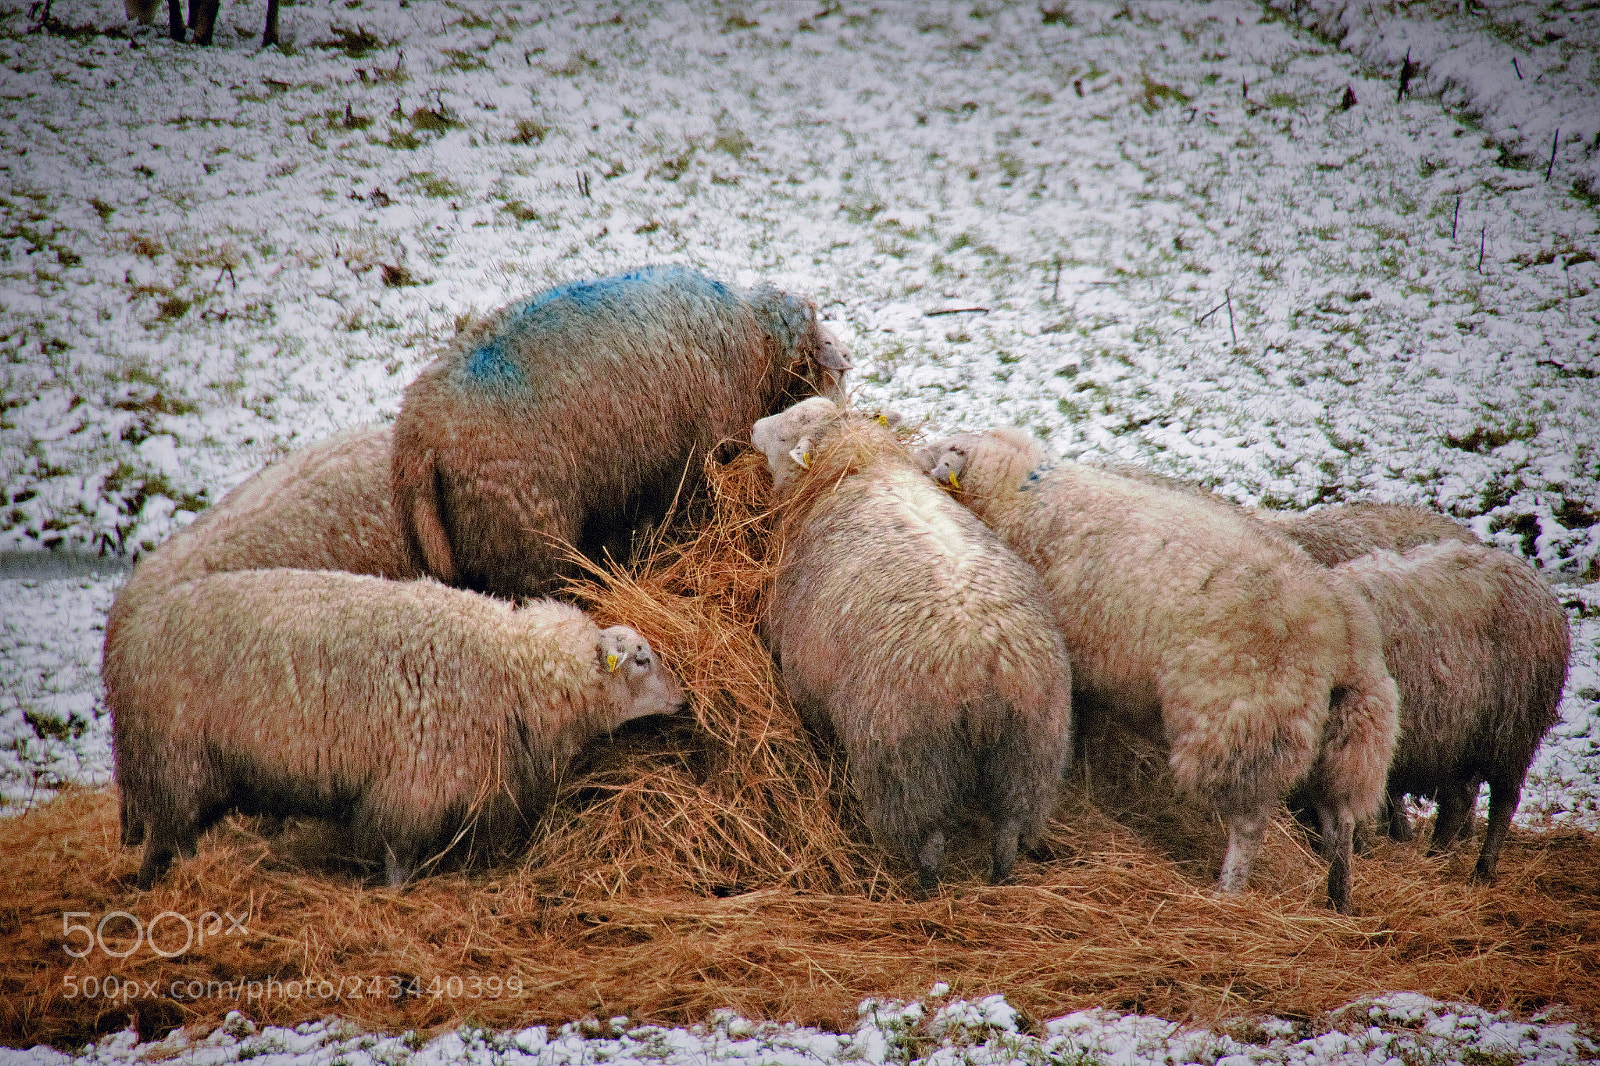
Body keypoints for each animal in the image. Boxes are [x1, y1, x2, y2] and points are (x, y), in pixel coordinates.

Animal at [104, 567, 685, 888]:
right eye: (641, 659)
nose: (684, 699)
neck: (512, 668)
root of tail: (131, 641)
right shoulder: (411, 784)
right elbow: (397, 856)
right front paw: (395, 893)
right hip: (176, 757)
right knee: (178, 836)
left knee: (163, 839)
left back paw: (147, 887)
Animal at [752, 398, 1074, 891]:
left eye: (787, 433)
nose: (753, 427)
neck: (864, 466)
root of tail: (983, 663)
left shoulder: (799, 672)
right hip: (1032, 756)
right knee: (1009, 832)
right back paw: (1000, 877)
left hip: (908, 766)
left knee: (928, 840)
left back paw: (924, 886)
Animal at [919, 428, 1399, 911]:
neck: (1019, 492)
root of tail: (1346, 639)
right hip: (1346, 740)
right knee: (1340, 820)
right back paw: (1339, 897)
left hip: (1243, 721)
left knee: (1249, 824)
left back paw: (1228, 889)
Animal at [1332, 540, 1569, 881]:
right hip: (1454, 739)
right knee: (1457, 802)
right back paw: (1438, 855)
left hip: (1514, 731)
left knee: (1503, 801)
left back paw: (1482, 869)